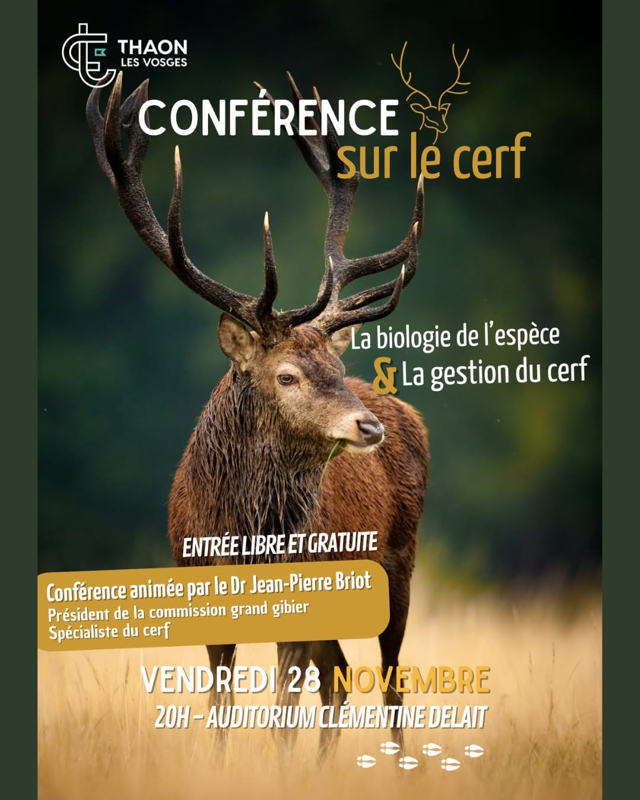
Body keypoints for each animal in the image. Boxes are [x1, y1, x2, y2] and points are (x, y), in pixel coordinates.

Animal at [87, 71, 430, 759]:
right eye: (287, 375)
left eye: (334, 366)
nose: (368, 427)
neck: (246, 539)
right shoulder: (201, 589)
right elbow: (221, 710)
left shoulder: (301, 594)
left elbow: (280, 715)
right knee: (340, 676)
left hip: (398, 563)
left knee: (388, 678)